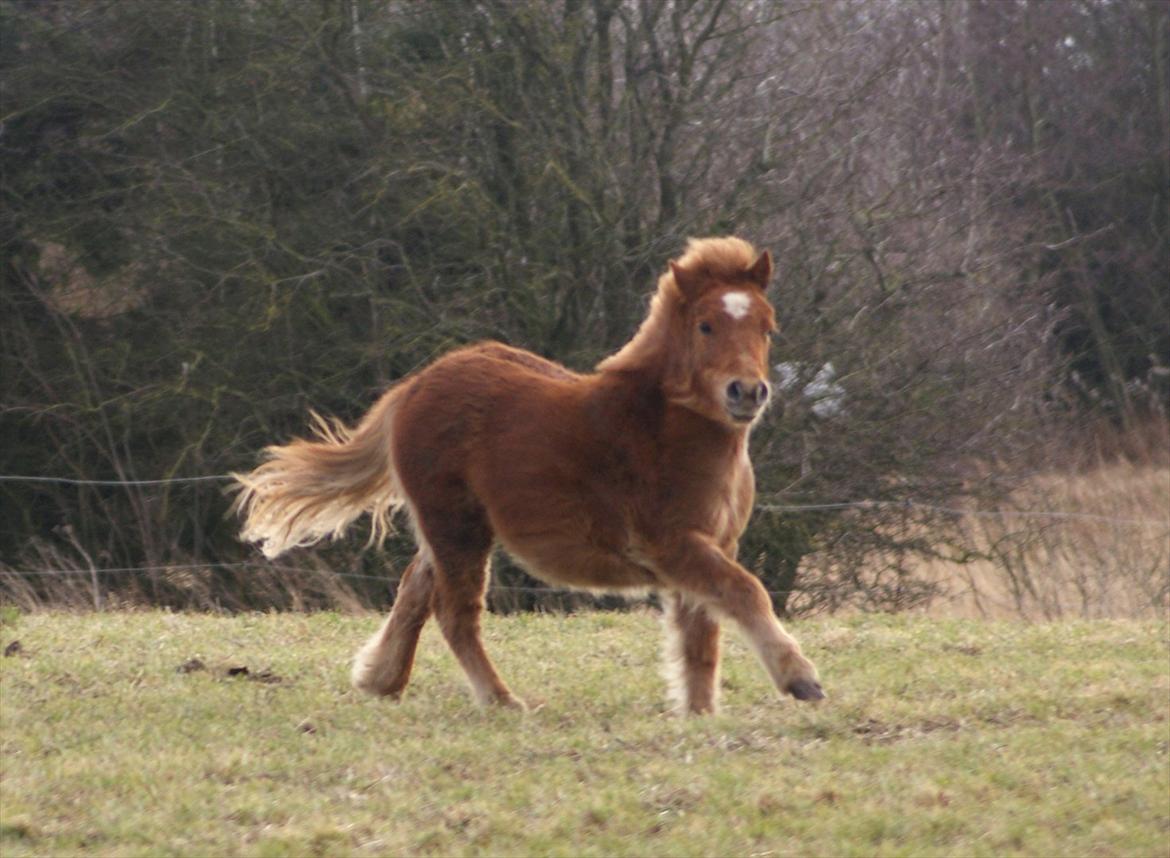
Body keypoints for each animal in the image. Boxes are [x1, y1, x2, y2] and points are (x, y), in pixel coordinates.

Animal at [232, 236, 823, 711]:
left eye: (768, 328)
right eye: (705, 325)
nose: (747, 392)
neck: (667, 428)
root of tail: (414, 386)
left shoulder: (710, 547)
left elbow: (701, 637)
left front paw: (699, 715)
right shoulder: (673, 544)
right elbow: (745, 593)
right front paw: (800, 680)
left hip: (448, 529)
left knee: (415, 590)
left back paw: (382, 680)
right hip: (459, 527)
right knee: (455, 612)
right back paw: (500, 700)